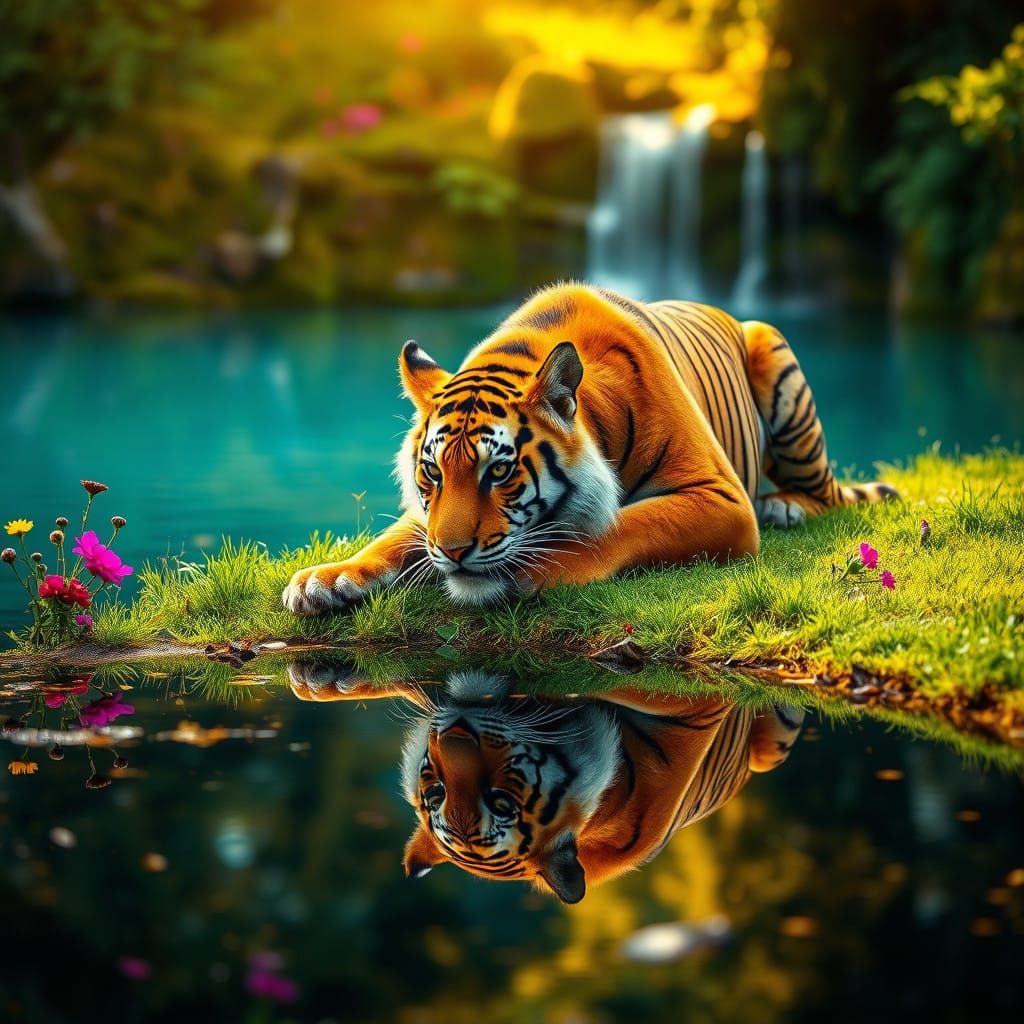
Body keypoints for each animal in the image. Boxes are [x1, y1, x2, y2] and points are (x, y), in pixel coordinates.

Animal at [283, 282, 897, 613]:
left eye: (498, 473)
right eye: (432, 474)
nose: (454, 555)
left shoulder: (720, 497)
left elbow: (622, 526)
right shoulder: (426, 520)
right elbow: (396, 537)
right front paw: (324, 580)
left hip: (775, 357)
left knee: (824, 493)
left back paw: (785, 506)